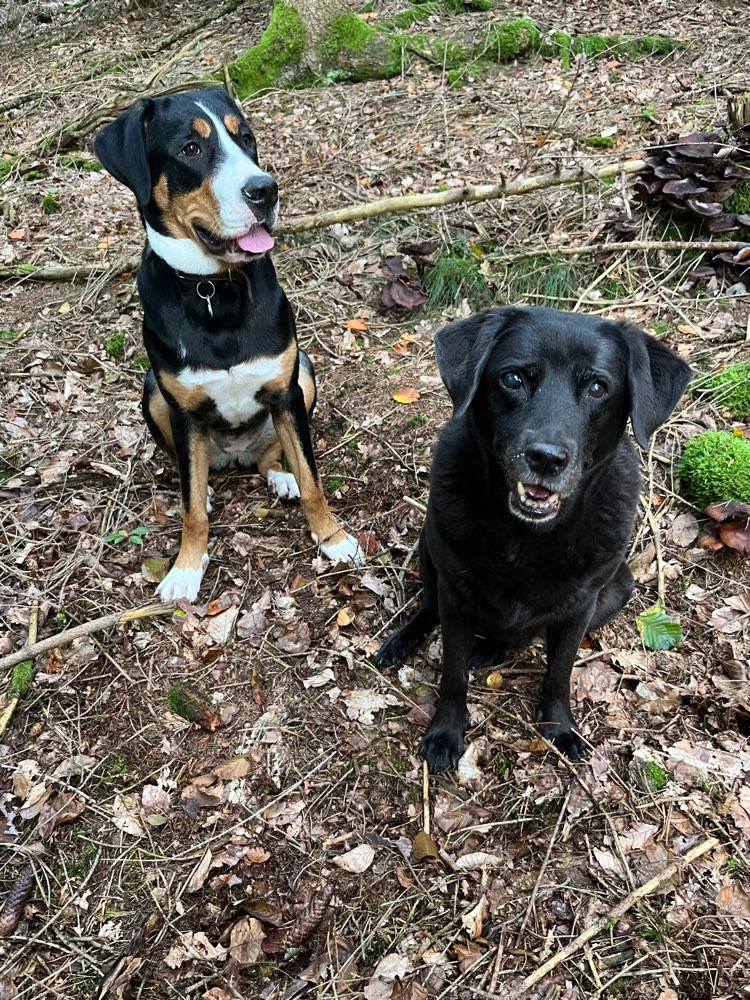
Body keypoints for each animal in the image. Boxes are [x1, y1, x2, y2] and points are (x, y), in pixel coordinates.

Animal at [94, 86, 364, 600]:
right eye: (190, 149)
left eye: (247, 138)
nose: (265, 190)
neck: (213, 291)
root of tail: (235, 455)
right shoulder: (181, 411)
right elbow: (189, 509)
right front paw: (186, 566)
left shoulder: (287, 392)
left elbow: (313, 478)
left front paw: (333, 537)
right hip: (152, 393)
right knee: (191, 473)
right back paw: (207, 487)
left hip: (305, 372)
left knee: (271, 457)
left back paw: (280, 476)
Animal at [376, 304, 692, 772]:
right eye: (513, 378)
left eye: (597, 387)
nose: (546, 458)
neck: (526, 537)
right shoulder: (454, 593)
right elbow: (452, 671)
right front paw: (446, 730)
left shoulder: (580, 608)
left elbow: (559, 671)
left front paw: (559, 727)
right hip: (429, 552)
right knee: (428, 608)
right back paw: (405, 640)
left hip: (616, 591)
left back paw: (491, 648)